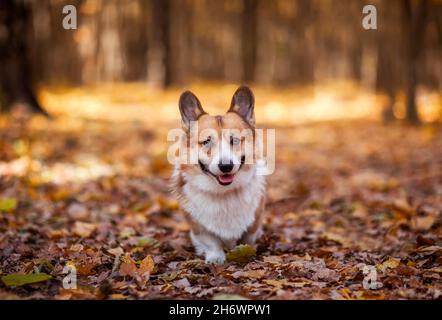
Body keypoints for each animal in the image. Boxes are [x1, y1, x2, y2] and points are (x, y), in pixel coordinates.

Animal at [171, 86, 264, 264]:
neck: (224, 192)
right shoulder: (198, 226)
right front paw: (215, 257)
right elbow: (211, 241)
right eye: (207, 141)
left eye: (234, 140)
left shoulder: (254, 222)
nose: (226, 166)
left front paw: (245, 252)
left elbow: (247, 239)